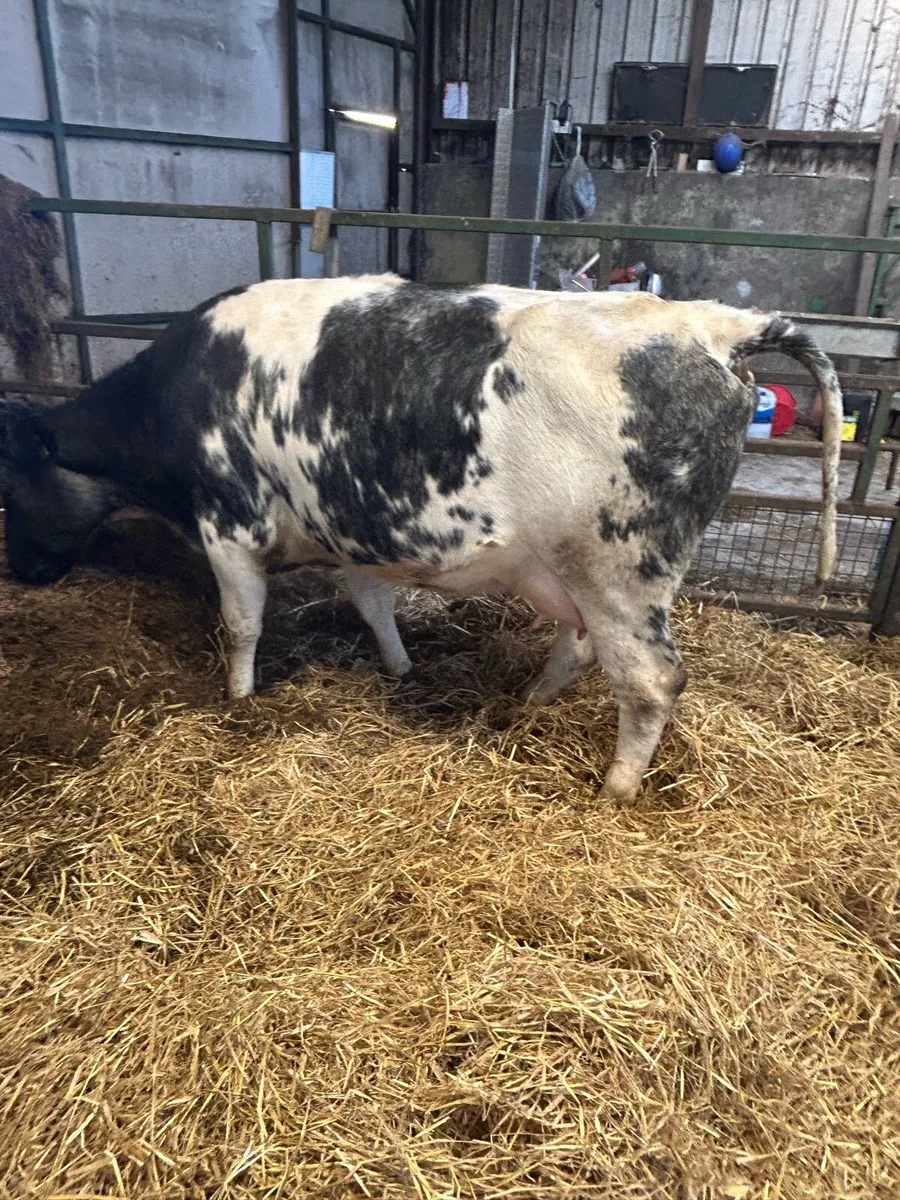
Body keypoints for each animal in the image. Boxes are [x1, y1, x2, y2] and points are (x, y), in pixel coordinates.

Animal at [0, 277, 842, 802]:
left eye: (9, 484)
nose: (21, 572)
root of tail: (713, 325)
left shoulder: (230, 521)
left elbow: (240, 624)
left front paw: (238, 701)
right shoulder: (353, 530)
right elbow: (372, 603)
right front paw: (401, 667)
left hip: (622, 569)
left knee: (652, 680)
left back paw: (616, 787)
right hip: (580, 572)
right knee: (579, 648)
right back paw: (528, 706)